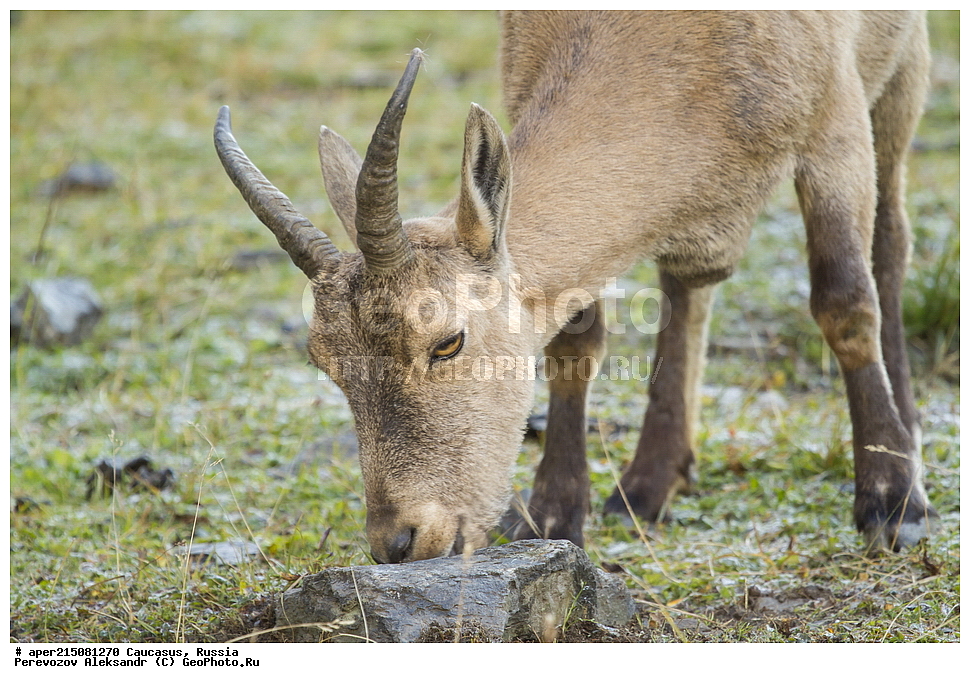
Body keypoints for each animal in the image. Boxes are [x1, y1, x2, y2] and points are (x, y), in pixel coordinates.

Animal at [215, 11, 937, 563]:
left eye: (447, 341)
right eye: (325, 362)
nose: (399, 541)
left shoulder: (834, 123)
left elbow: (845, 301)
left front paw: (891, 502)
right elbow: (574, 339)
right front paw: (551, 515)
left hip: (901, 73)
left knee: (891, 241)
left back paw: (907, 433)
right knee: (685, 286)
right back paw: (648, 483)